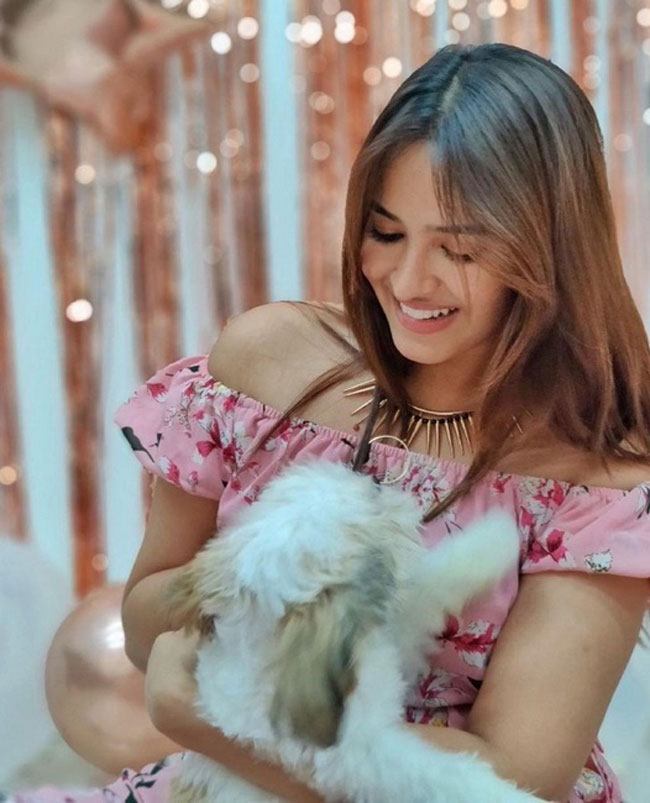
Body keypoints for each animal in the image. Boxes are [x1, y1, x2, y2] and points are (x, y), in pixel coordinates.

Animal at [166, 458, 543, 802]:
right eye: (375, 511)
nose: (374, 480)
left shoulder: (387, 638)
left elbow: (432, 584)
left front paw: (495, 537)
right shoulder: (362, 757)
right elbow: (446, 779)